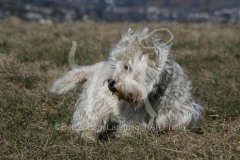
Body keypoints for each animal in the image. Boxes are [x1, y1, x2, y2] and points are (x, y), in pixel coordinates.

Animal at [50, 28, 202, 141]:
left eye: (127, 67)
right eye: (114, 66)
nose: (110, 82)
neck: (155, 93)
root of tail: (92, 69)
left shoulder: (179, 109)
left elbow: (177, 121)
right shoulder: (134, 114)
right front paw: (130, 135)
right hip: (95, 103)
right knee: (88, 118)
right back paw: (88, 136)